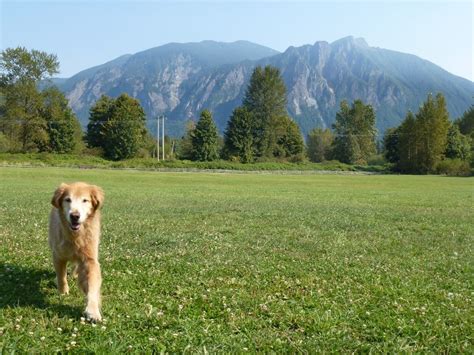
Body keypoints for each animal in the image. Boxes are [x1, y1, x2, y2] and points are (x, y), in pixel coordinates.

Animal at [48, 182, 105, 324]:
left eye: (85, 200)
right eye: (68, 199)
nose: (75, 216)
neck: (75, 236)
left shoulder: (90, 259)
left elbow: (92, 286)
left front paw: (93, 311)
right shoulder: (58, 255)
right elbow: (61, 276)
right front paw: (63, 291)